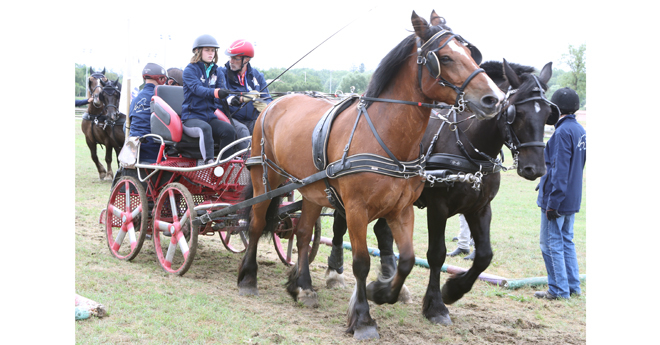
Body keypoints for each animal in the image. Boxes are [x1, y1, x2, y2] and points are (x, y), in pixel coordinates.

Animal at [237, 11, 506, 338]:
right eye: (444, 57)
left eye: (470, 53)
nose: (494, 99)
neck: (384, 135)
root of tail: (273, 103)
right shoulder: (356, 209)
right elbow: (361, 262)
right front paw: (364, 318)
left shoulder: (402, 209)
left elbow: (406, 260)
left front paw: (382, 291)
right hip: (265, 179)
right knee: (255, 224)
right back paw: (248, 279)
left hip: (312, 190)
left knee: (302, 235)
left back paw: (303, 287)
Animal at [326, 57, 556, 324]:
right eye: (514, 113)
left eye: (549, 113)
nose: (535, 168)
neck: (466, 143)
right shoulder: (438, 207)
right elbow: (436, 254)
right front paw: (436, 305)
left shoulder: (480, 207)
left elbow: (484, 255)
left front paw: (453, 290)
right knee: (340, 226)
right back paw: (335, 272)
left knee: (382, 231)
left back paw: (389, 281)